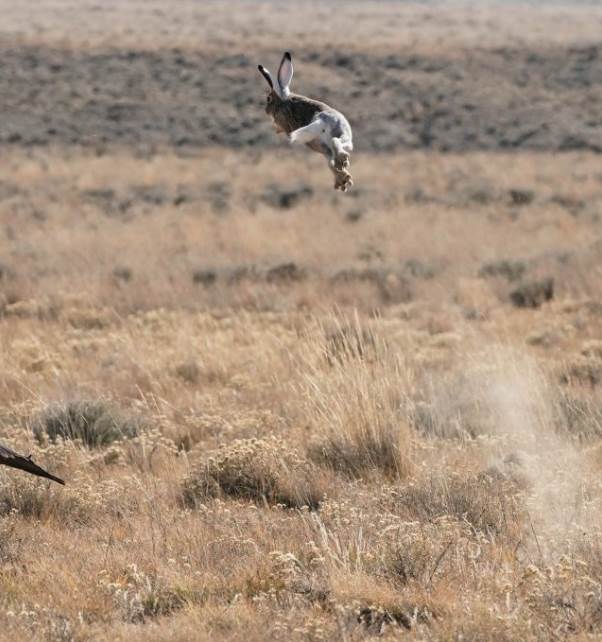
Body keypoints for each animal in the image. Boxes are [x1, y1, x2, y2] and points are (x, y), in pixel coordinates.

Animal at [258, 52, 354, 192]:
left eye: (268, 99)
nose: (266, 110)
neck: (283, 99)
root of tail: (321, 119)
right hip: (336, 142)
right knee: (333, 154)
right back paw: (342, 177)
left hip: (333, 142)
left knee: (333, 155)